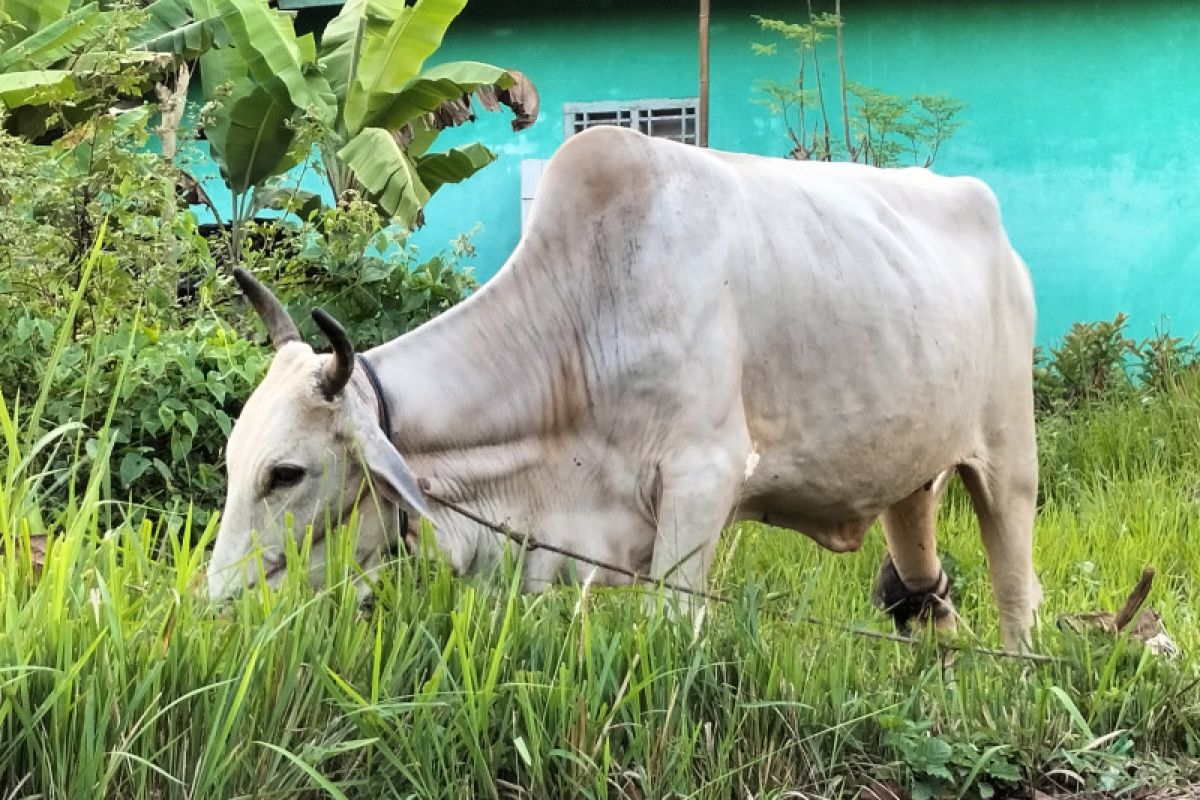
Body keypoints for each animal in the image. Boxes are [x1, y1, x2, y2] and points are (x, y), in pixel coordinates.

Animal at [208, 126, 1041, 652]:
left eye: (287, 473)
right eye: (229, 460)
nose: (214, 608)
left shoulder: (702, 483)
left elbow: (672, 631)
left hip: (1008, 458)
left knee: (1016, 596)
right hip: (910, 475)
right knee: (924, 586)